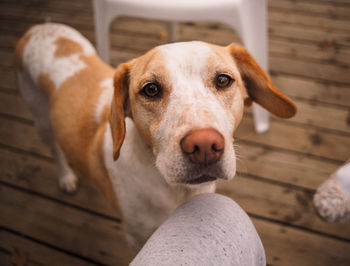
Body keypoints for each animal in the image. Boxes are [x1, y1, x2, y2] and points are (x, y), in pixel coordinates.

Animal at [15, 22, 296, 251]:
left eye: (223, 80)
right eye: (151, 89)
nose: (205, 145)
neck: (175, 192)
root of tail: (38, 28)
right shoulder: (137, 236)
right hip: (42, 122)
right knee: (55, 149)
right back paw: (66, 177)